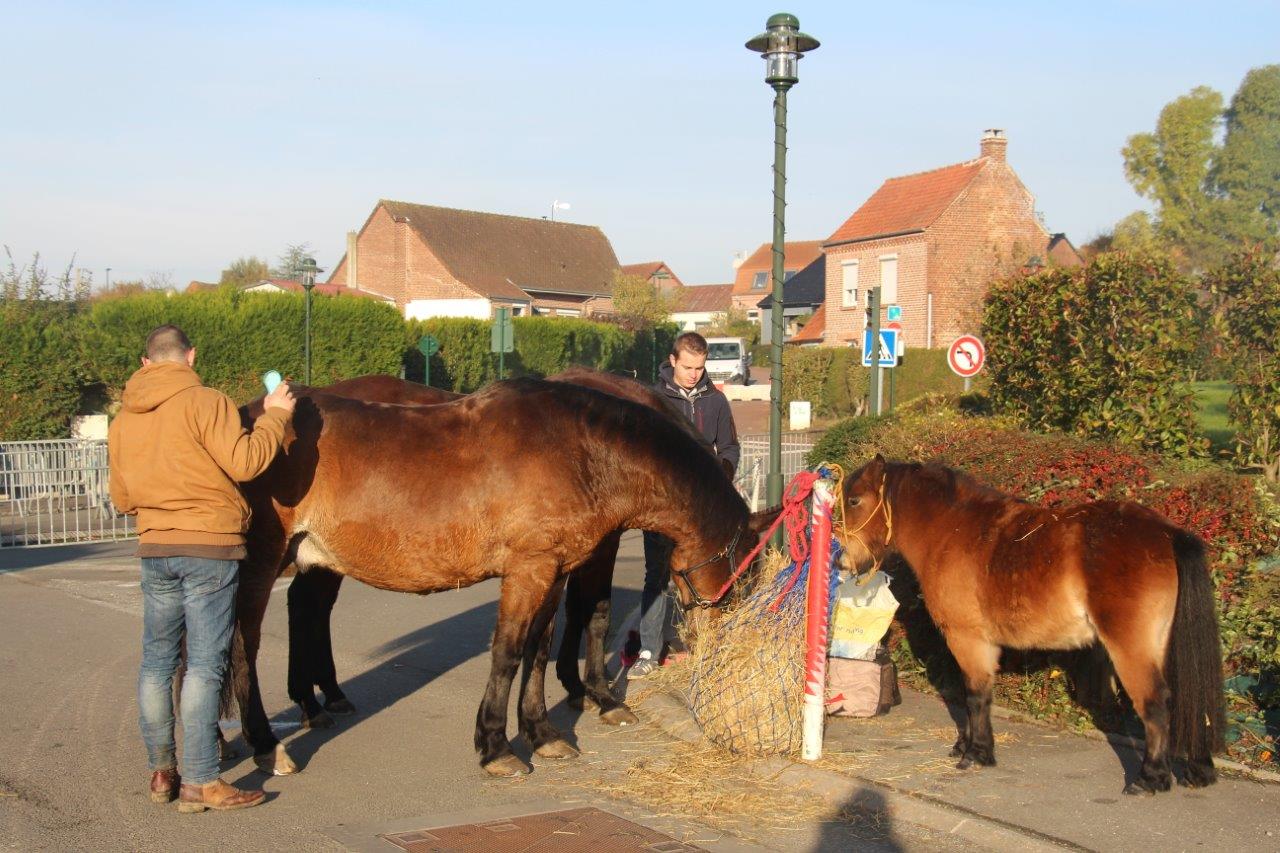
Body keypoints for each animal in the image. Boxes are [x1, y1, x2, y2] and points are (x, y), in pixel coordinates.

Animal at [231, 376, 762, 773]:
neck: (584, 453)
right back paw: (266, 745)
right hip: (260, 563)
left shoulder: (554, 570)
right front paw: (496, 745)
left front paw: (542, 732)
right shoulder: (529, 570)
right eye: (743, 572)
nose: (720, 649)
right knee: (242, 645)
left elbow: (539, 648)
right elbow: (510, 651)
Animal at [834, 455, 1223, 794]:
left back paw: (1150, 778)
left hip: (1132, 649)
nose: (840, 560)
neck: (951, 530)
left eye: (854, 500)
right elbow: (971, 694)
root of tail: (1166, 534)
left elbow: (974, 695)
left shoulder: (967, 639)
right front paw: (966, 745)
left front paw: (977, 753)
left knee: (1155, 704)